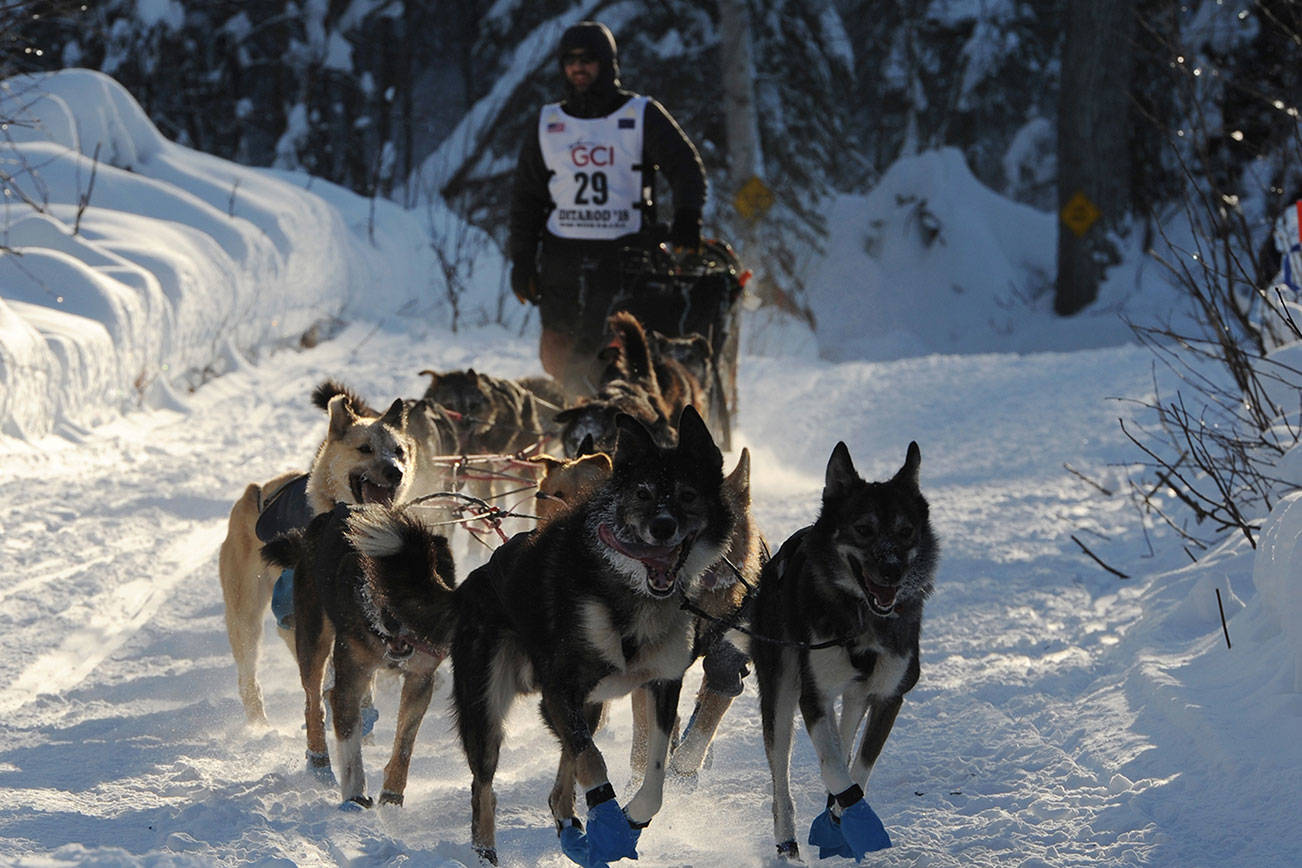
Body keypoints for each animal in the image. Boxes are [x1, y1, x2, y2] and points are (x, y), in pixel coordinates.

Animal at [346, 408, 734, 868]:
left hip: (586, 707)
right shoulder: (560, 689)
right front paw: (609, 822)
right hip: (488, 709)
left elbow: (652, 774)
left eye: (688, 495)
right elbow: (592, 760)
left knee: (561, 780)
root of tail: (471, 586)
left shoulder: (661, 685)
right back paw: (487, 851)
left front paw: (628, 819)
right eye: (642, 493)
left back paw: (571, 828)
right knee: (486, 785)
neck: (628, 591)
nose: (662, 526)